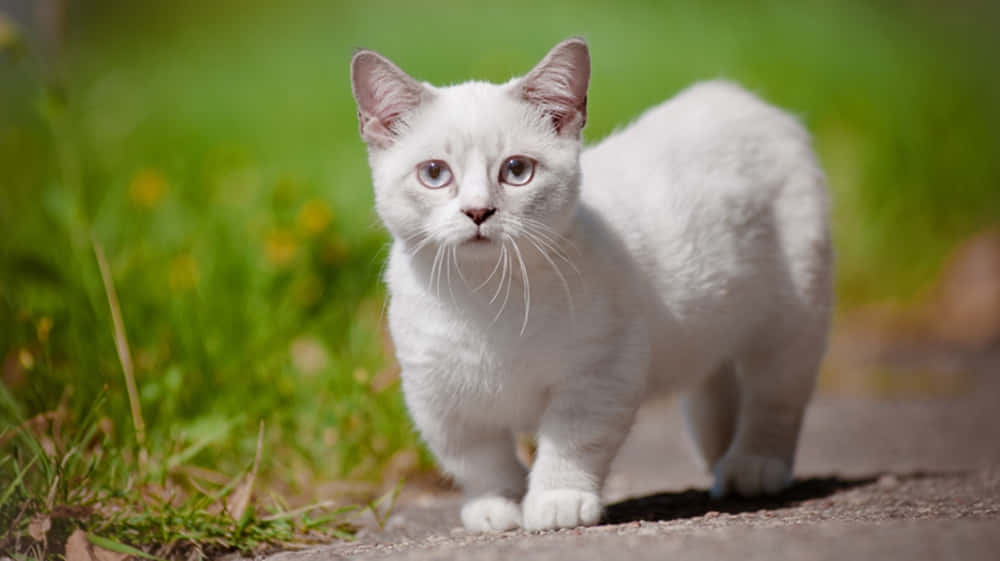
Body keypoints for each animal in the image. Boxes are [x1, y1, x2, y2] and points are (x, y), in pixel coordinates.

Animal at [348, 38, 832, 528]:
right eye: (434, 173)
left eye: (516, 170)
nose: (478, 211)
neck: (484, 297)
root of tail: (737, 97)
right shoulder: (437, 395)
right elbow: (478, 459)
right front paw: (495, 505)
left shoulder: (598, 373)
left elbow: (572, 444)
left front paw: (557, 500)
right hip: (713, 329)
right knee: (715, 388)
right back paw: (721, 463)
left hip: (792, 316)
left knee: (774, 397)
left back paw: (752, 466)